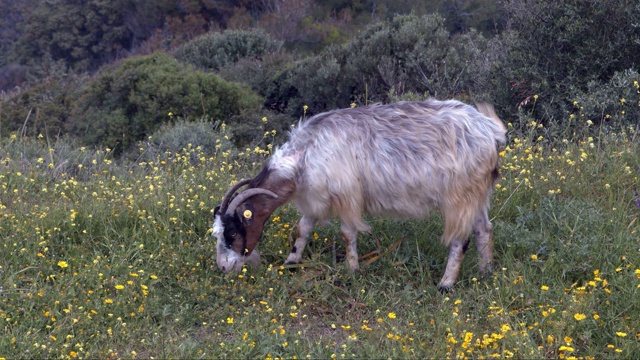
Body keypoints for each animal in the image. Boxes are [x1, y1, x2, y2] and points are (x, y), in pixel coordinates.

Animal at [212, 98, 508, 290]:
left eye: (234, 233)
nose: (223, 268)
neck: (305, 153)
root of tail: (490, 130)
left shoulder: (345, 194)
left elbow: (347, 233)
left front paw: (352, 269)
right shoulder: (316, 196)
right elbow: (303, 228)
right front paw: (291, 261)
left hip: (461, 195)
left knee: (461, 237)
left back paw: (446, 284)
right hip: (478, 193)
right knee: (484, 228)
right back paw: (486, 272)